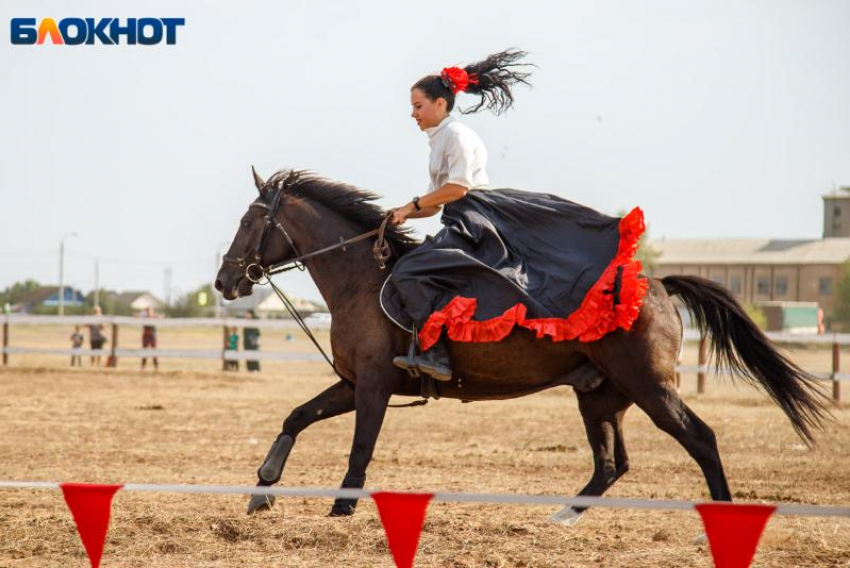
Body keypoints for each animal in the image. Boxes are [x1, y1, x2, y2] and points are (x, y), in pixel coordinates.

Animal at [214, 168, 828, 520]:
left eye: (247, 222)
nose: (224, 281)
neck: (362, 277)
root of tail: (654, 284)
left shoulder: (375, 384)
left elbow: (360, 446)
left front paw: (342, 505)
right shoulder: (351, 382)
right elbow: (296, 417)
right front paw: (263, 487)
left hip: (651, 388)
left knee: (700, 439)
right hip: (601, 396)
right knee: (612, 463)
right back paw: (563, 517)